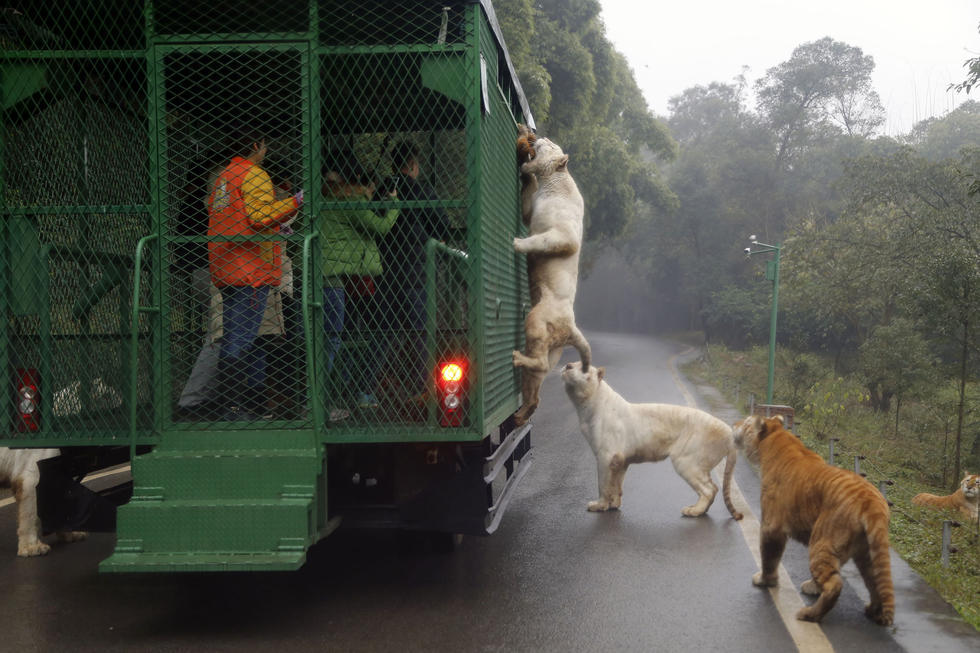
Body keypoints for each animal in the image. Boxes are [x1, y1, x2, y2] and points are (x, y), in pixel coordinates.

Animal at [512, 125, 588, 426]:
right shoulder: (532, 205)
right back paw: (521, 415)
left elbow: (543, 240)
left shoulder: (564, 235)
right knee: (536, 382)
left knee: (540, 360)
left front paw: (518, 243)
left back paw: (517, 358)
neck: (556, 181)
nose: (536, 133)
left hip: (541, 318)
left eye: (552, 143)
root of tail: (572, 328)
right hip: (552, 346)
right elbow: (525, 207)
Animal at [732, 416, 892, 624]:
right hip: (866, 552)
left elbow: (769, 556)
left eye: (745, 422)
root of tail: (872, 502)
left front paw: (765, 581)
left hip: (823, 540)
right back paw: (873, 611)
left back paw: (809, 614)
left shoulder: (771, 525)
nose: (734, 424)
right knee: (874, 581)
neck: (776, 437)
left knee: (834, 584)